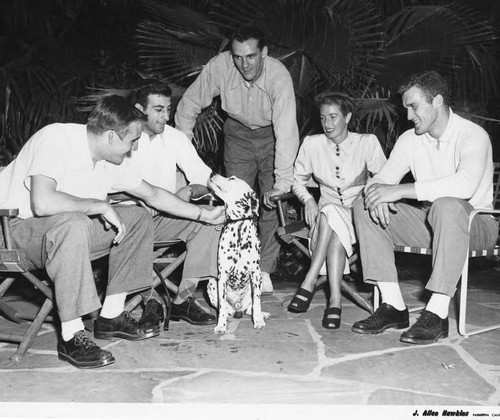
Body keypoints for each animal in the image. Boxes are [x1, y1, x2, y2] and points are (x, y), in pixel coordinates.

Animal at [207, 171, 270, 334]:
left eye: (232, 179)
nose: (212, 172)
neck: (239, 226)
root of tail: (238, 309)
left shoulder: (255, 273)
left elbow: (257, 303)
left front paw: (258, 321)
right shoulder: (222, 275)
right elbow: (222, 306)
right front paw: (221, 325)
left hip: (258, 282)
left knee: (251, 307)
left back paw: (261, 314)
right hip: (212, 283)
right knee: (226, 309)